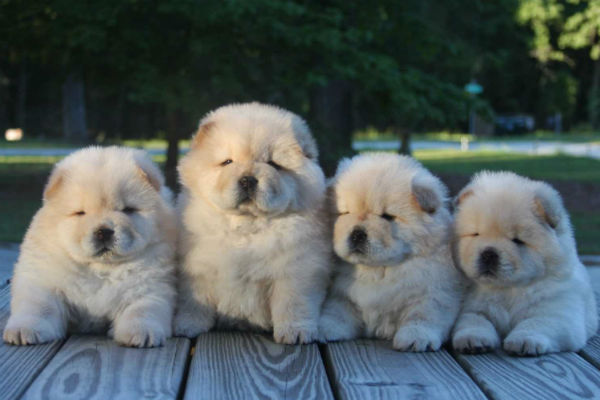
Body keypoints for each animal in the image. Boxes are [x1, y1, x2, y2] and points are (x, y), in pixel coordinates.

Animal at [2, 147, 176, 346]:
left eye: (128, 210)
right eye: (80, 213)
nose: (104, 231)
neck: (100, 269)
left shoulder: (150, 286)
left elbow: (142, 309)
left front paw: (141, 333)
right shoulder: (43, 280)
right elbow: (38, 306)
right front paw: (24, 330)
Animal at [173, 101, 332, 342]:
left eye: (274, 164)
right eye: (227, 162)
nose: (248, 179)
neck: (247, 226)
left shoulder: (296, 271)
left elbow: (293, 304)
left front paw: (295, 332)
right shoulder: (198, 269)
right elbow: (193, 302)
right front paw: (186, 326)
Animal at [318, 153, 464, 350]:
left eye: (387, 217)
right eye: (345, 213)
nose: (357, 233)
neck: (379, 270)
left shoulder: (435, 292)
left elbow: (423, 315)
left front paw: (416, 337)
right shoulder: (342, 294)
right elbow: (337, 311)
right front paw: (325, 328)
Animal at [452, 172, 596, 356]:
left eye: (517, 240)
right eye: (475, 234)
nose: (489, 253)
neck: (507, 291)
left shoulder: (558, 312)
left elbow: (536, 323)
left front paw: (523, 341)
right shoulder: (471, 308)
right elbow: (474, 320)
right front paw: (473, 340)